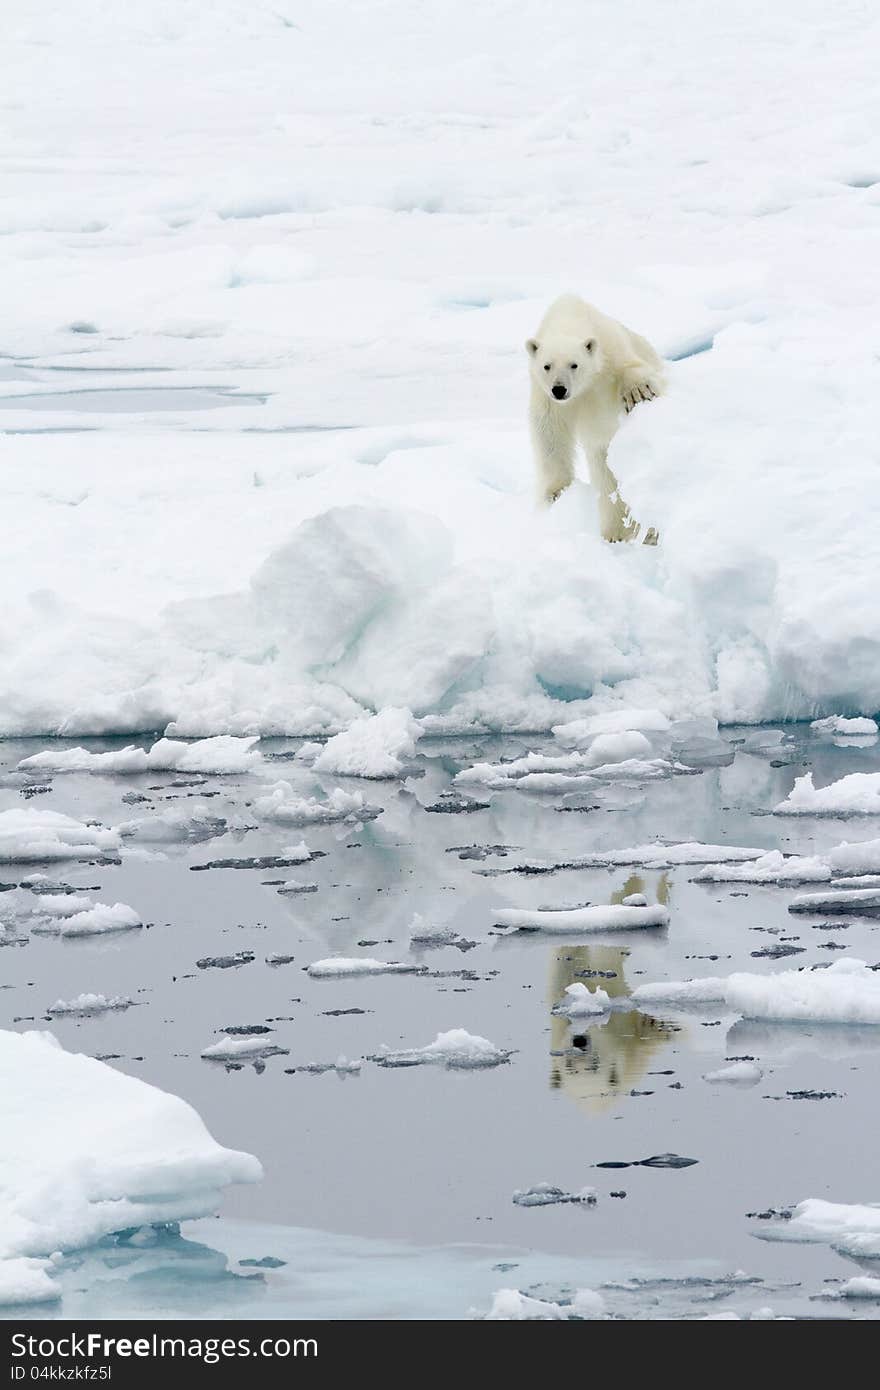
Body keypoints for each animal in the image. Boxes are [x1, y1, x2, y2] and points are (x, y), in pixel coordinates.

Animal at [525, 294, 661, 542]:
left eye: (574, 364)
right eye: (547, 366)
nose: (559, 389)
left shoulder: (610, 350)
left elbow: (632, 367)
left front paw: (638, 391)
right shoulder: (545, 395)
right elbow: (549, 432)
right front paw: (556, 492)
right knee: (606, 479)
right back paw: (616, 533)